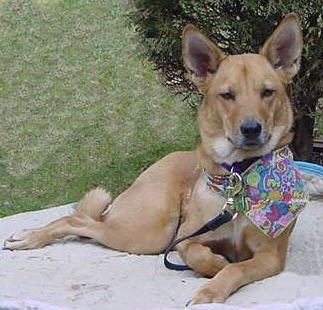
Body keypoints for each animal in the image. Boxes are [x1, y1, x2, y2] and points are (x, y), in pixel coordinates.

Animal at [4, 14, 304, 306]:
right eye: (227, 95)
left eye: (267, 92)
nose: (251, 129)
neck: (238, 178)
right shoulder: (185, 238)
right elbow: (199, 255)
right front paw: (216, 265)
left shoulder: (270, 257)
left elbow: (236, 268)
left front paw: (212, 287)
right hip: (150, 231)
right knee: (78, 220)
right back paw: (29, 236)